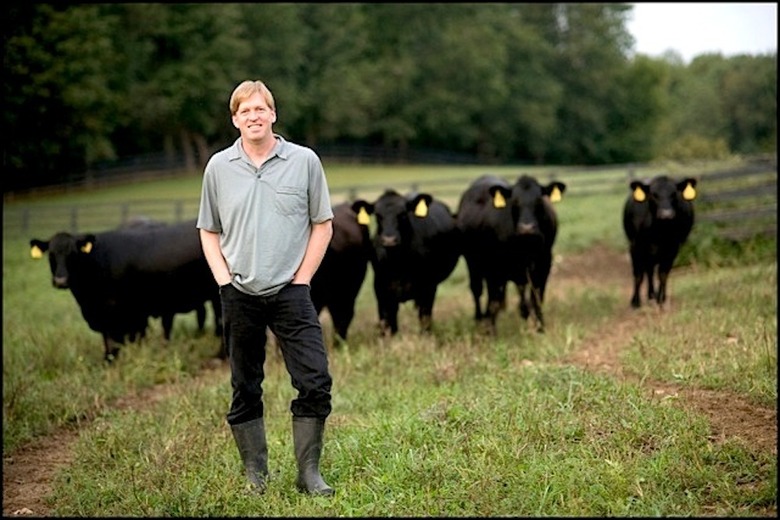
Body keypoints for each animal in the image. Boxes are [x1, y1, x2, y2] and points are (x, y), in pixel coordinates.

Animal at [354, 189, 460, 336]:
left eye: (403, 214)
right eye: (378, 215)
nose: (389, 240)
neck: (399, 264)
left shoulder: (428, 288)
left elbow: (425, 320)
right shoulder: (381, 291)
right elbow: (387, 324)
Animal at [458, 175, 568, 334]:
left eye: (539, 201)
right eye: (514, 202)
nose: (527, 228)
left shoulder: (544, 263)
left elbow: (537, 297)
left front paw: (540, 327)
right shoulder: (496, 268)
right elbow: (494, 301)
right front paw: (491, 332)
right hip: (472, 262)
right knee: (477, 290)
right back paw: (480, 320)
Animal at [624, 176, 696, 304]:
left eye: (674, 194)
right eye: (654, 194)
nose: (666, 214)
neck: (659, 233)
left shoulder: (672, 249)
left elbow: (663, 274)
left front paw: (661, 298)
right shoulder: (635, 247)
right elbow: (638, 275)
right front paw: (635, 301)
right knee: (648, 271)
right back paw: (650, 294)